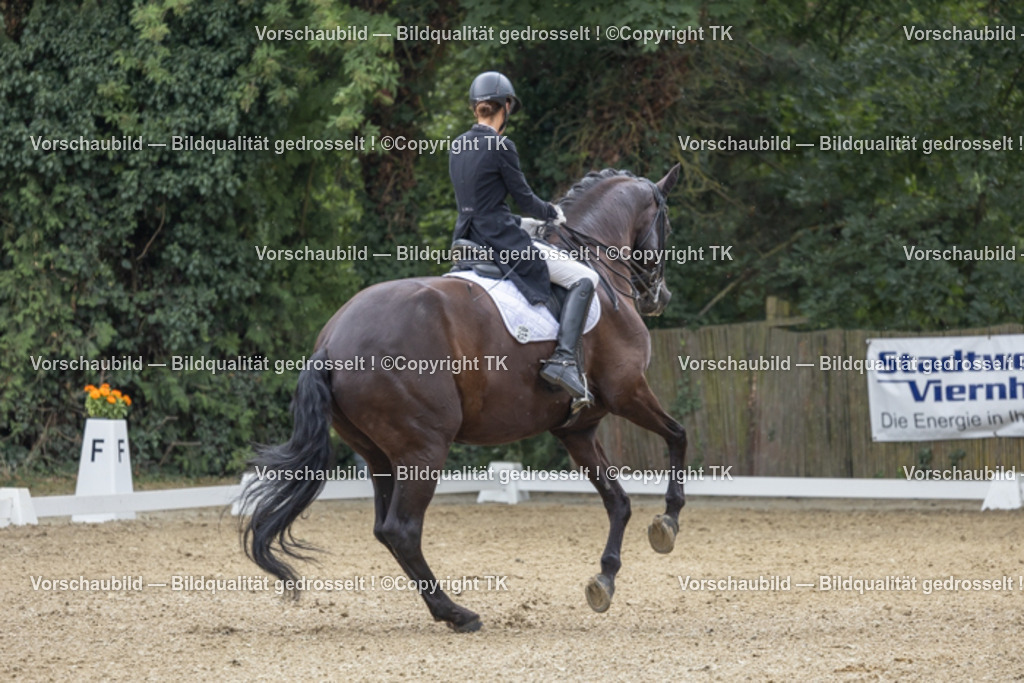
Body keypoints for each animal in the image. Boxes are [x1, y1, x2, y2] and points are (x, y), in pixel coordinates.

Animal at [240, 164, 688, 632]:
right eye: (667, 224)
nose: (659, 297)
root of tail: (331, 342)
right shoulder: (627, 391)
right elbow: (678, 436)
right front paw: (668, 523)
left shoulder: (578, 429)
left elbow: (618, 501)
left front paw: (605, 578)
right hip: (424, 448)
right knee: (402, 530)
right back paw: (457, 613)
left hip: (380, 455)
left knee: (385, 530)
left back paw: (447, 609)